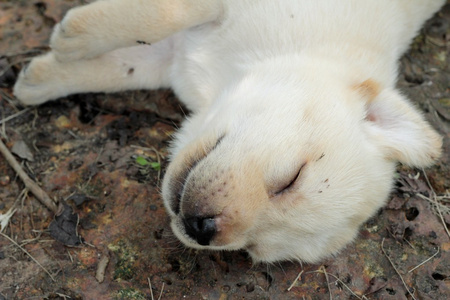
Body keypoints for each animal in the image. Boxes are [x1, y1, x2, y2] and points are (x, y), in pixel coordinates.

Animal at [13, 0, 442, 262]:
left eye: (253, 251)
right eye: (292, 178)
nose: (200, 228)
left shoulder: (169, 59)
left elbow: (124, 66)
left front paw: (39, 78)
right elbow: (163, 14)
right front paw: (71, 38)